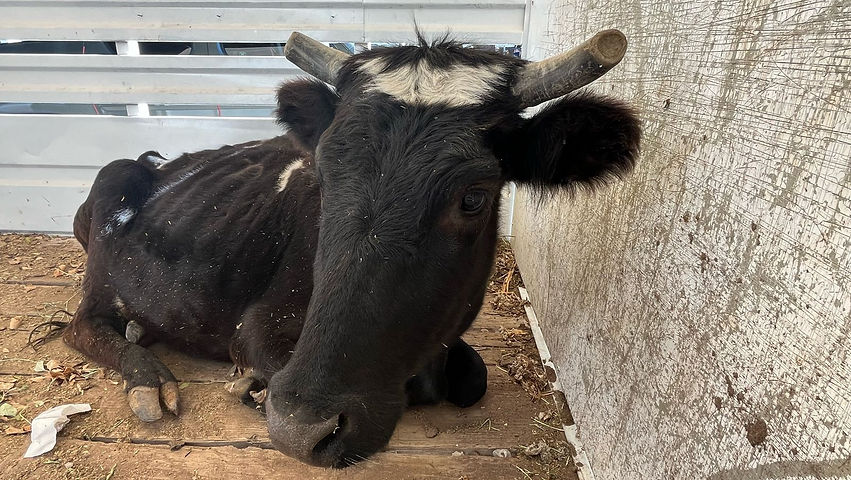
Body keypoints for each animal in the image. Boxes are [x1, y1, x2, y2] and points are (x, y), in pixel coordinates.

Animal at [64, 30, 641, 467]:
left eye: (473, 198)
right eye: (324, 175)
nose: (300, 427)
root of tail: (158, 160)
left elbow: (472, 377)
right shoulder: (258, 325)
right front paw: (250, 388)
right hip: (107, 226)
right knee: (83, 326)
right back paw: (146, 377)